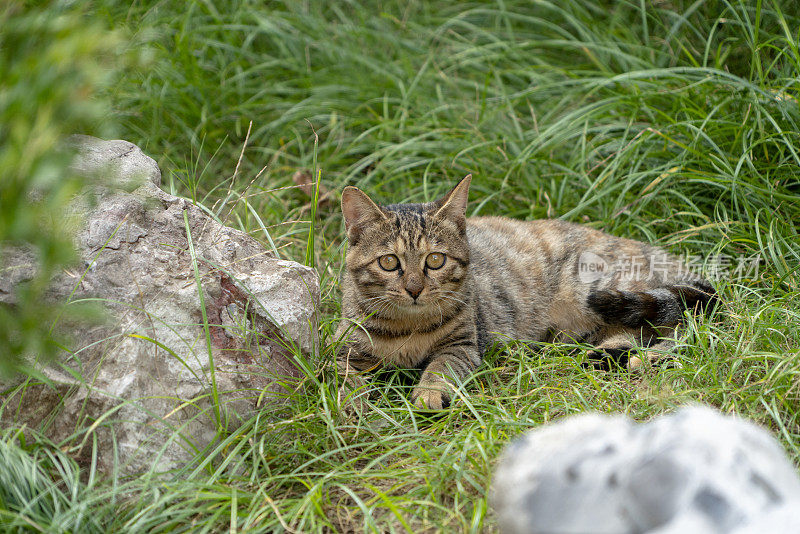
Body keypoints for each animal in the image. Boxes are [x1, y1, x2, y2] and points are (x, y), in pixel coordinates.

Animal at [334, 176, 716, 410]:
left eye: (435, 259)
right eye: (388, 262)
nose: (414, 289)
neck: (407, 327)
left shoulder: (464, 344)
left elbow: (441, 367)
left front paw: (429, 393)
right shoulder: (344, 349)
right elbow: (342, 379)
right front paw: (352, 406)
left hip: (602, 290)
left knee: (685, 327)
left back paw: (638, 356)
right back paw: (611, 354)